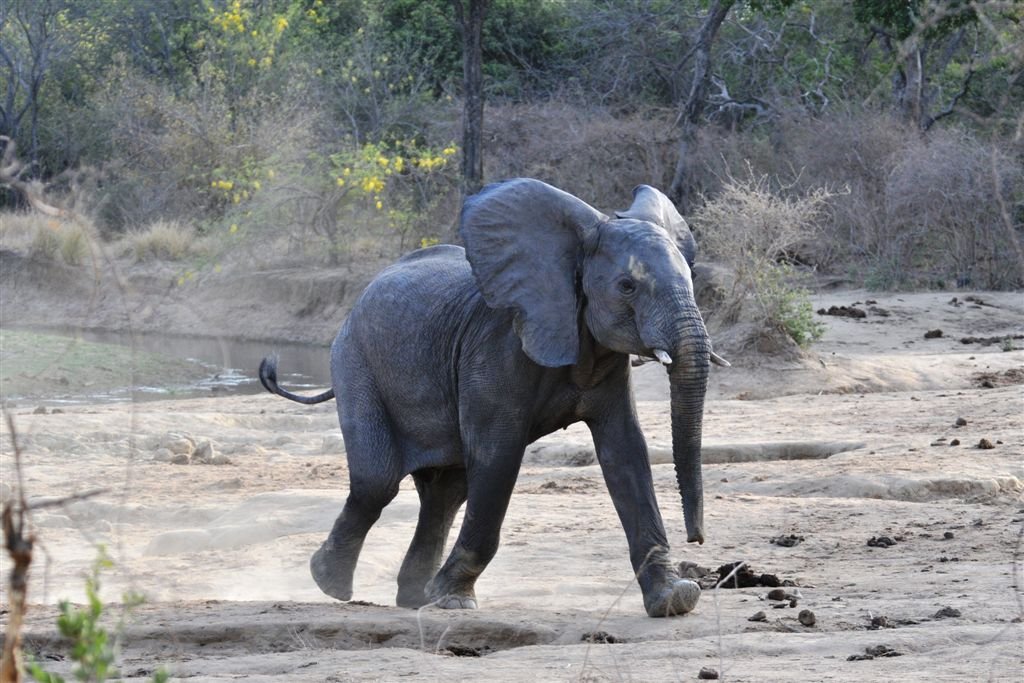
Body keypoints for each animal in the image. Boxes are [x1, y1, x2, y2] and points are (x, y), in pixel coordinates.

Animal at [259, 178, 728, 617]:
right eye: (627, 286)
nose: (698, 538)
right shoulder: (496, 346)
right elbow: (498, 453)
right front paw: (454, 601)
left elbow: (626, 451)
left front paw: (675, 599)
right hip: (355, 361)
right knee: (378, 482)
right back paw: (331, 582)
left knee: (446, 493)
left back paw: (413, 598)